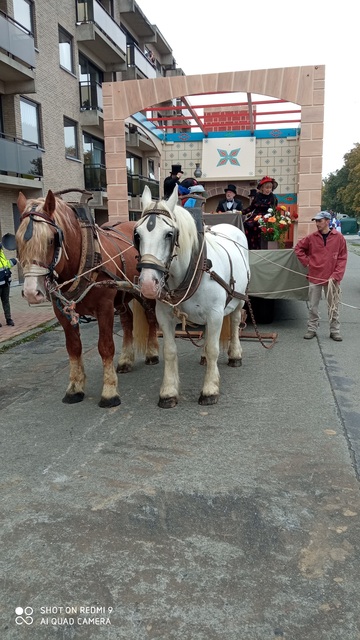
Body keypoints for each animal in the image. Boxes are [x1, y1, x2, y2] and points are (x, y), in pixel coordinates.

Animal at [15, 189, 159, 404]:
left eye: (51, 239)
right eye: (17, 241)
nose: (32, 292)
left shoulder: (105, 307)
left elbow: (105, 347)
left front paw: (109, 391)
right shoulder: (62, 312)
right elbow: (73, 348)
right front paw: (75, 388)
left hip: (145, 290)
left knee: (150, 318)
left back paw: (152, 353)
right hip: (122, 295)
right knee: (127, 321)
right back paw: (126, 359)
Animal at [135, 185, 250, 408]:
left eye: (169, 234)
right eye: (137, 234)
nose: (148, 284)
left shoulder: (215, 313)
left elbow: (214, 348)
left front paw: (210, 389)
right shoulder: (164, 316)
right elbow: (170, 351)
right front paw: (168, 392)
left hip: (239, 299)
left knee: (234, 323)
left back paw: (235, 355)